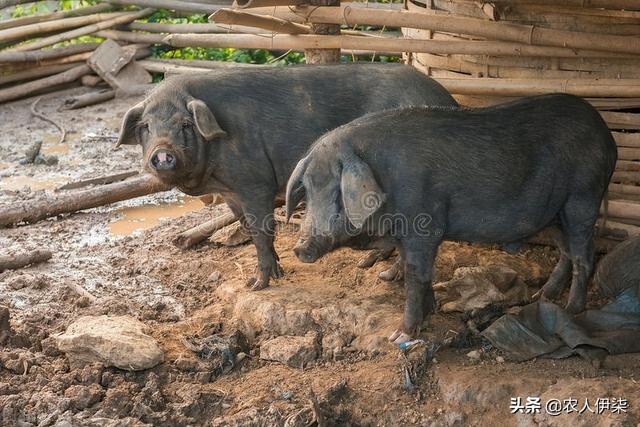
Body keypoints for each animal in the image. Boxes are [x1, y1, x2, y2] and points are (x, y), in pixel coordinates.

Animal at [114, 63, 456, 290]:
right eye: (145, 127)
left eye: (185, 124)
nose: (162, 153)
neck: (215, 177)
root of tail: (448, 98)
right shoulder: (230, 193)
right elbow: (248, 227)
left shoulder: (255, 183)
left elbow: (262, 230)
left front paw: (257, 285)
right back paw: (369, 264)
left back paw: (388, 276)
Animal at [288, 93, 616, 344]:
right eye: (308, 190)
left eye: (337, 192)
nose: (300, 248)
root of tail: (607, 136)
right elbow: (420, 274)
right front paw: (429, 312)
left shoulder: (424, 226)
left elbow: (415, 276)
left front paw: (399, 336)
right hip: (555, 213)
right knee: (566, 251)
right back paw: (542, 297)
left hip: (583, 197)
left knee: (584, 254)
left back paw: (572, 310)